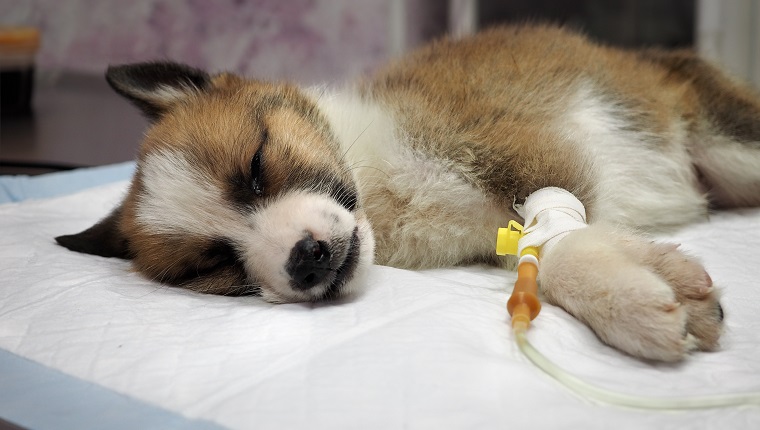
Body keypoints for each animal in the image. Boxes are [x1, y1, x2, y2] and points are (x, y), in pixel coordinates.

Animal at [56, 23, 760, 360]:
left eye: (256, 165)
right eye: (212, 263)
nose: (305, 259)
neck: (378, 183)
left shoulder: (522, 148)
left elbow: (558, 239)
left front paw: (625, 295)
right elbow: (542, 256)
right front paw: (633, 286)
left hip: (732, 138)